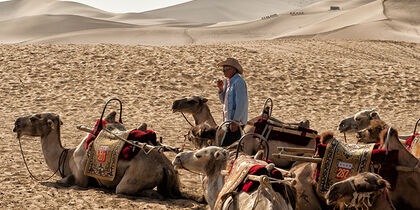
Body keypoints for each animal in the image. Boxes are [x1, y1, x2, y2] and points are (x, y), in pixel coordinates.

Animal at [12, 113, 180, 197]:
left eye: (33, 118)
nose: (16, 123)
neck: (67, 157)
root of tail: (167, 167)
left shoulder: (80, 178)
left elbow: (64, 181)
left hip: (135, 176)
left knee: (126, 189)